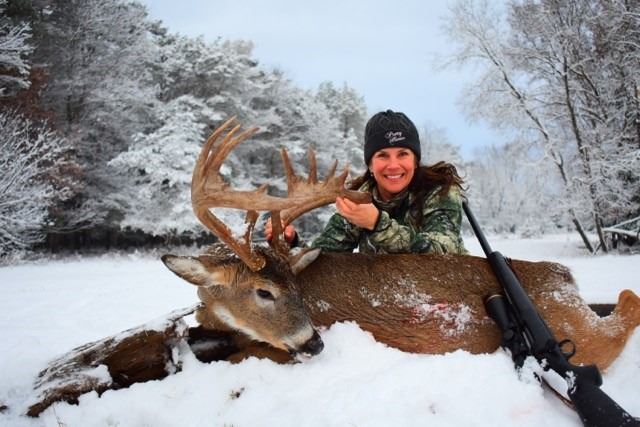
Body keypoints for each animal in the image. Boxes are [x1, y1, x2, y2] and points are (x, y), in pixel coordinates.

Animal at [162, 117, 640, 369]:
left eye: (293, 289)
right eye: (264, 291)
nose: (313, 343)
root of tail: (566, 278)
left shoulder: (271, 352)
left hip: (582, 337)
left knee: (621, 316)